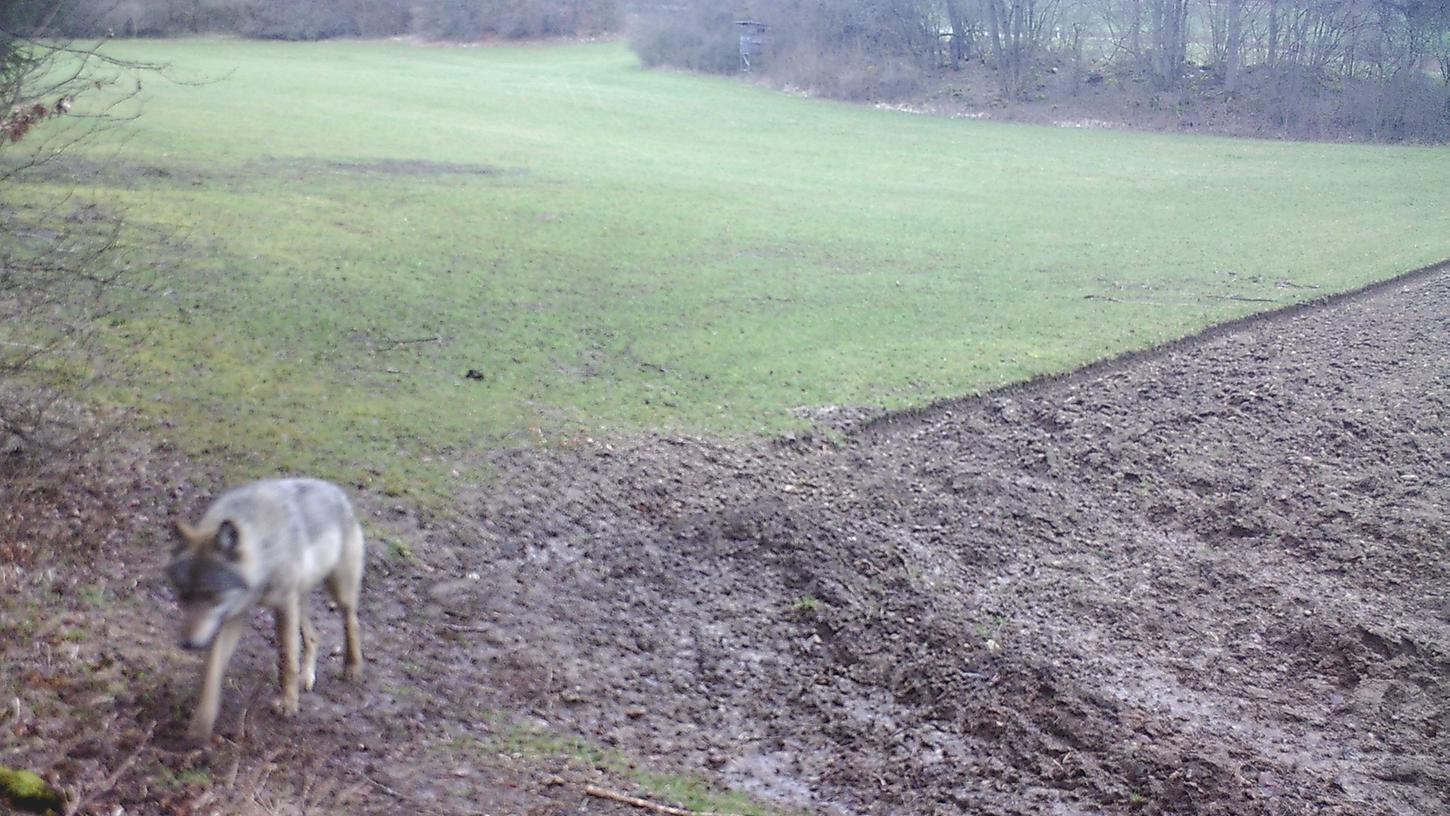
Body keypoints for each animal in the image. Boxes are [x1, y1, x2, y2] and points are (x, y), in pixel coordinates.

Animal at [166, 478, 365, 742]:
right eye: (184, 596)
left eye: (211, 596)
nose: (187, 644)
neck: (264, 547)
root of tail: (336, 490)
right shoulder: (232, 618)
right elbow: (212, 672)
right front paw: (200, 728)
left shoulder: (283, 606)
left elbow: (287, 659)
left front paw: (288, 705)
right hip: (300, 601)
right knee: (314, 637)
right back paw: (307, 677)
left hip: (337, 593)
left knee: (351, 621)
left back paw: (352, 668)